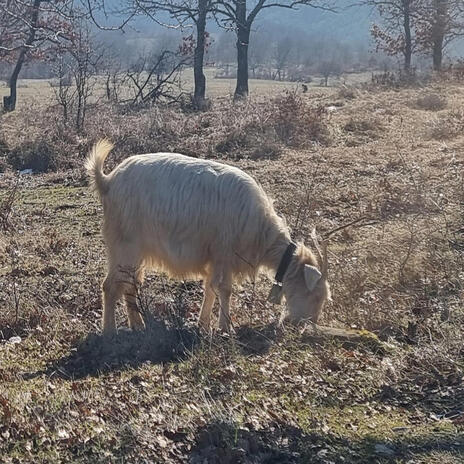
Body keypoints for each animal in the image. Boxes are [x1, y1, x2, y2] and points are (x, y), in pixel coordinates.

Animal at [84, 139, 330, 334]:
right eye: (316, 296)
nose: (307, 325)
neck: (262, 232)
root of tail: (108, 180)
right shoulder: (224, 254)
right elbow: (225, 290)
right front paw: (226, 327)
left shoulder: (216, 259)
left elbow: (210, 289)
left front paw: (203, 325)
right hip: (124, 245)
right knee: (110, 286)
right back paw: (110, 332)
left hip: (134, 252)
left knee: (130, 284)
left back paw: (138, 325)